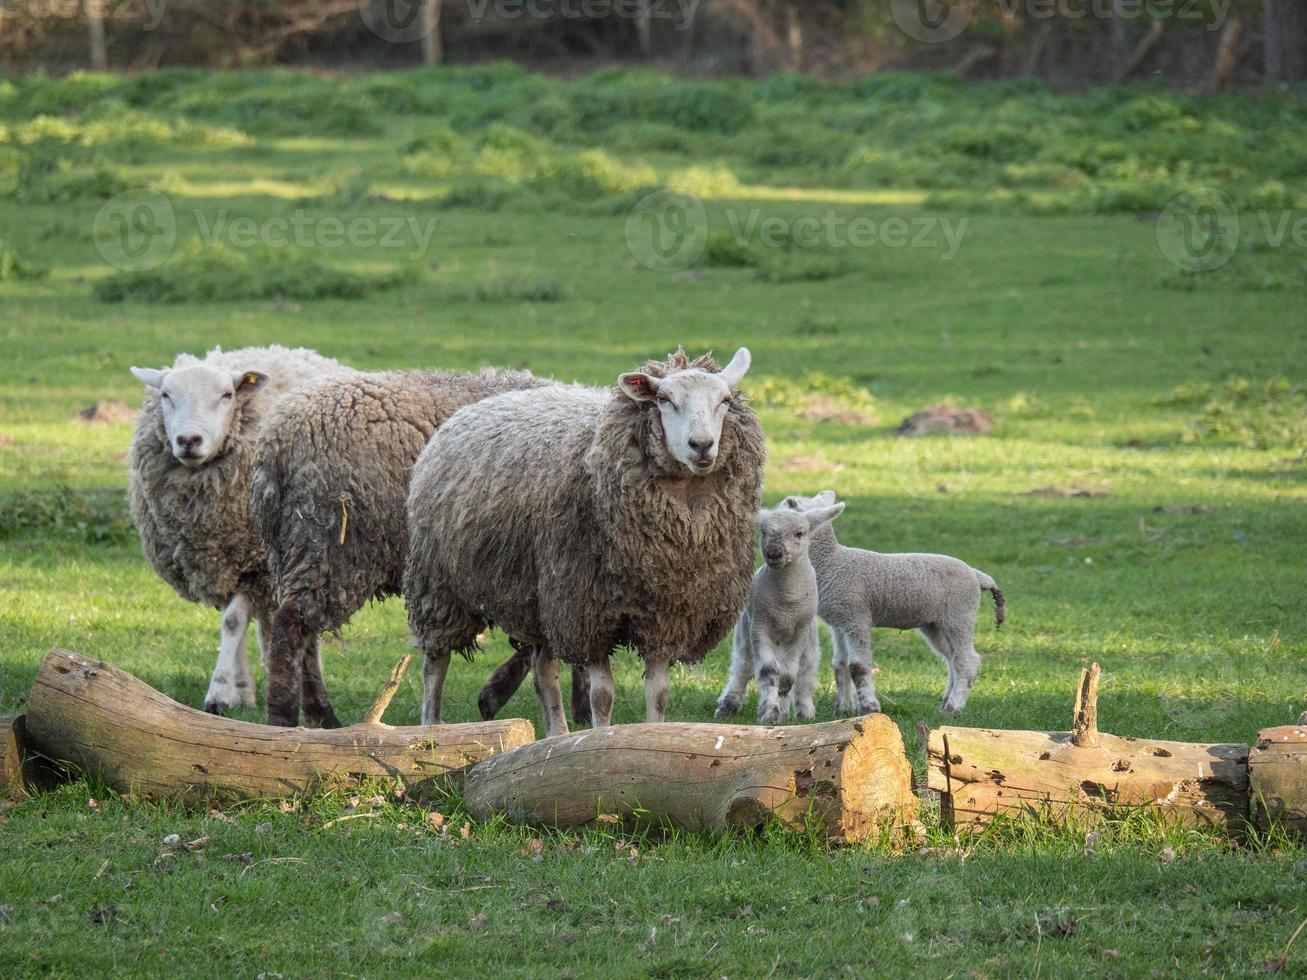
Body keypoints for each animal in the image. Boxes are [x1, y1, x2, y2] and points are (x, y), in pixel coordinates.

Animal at [126, 344, 347, 716]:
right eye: (166, 395)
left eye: (227, 395)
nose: (188, 440)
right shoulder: (222, 562)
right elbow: (234, 623)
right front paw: (237, 690)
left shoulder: (253, 563)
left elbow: (232, 622)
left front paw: (217, 693)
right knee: (264, 618)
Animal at [249, 368, 556, 731]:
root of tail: (274, 445)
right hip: (332, 543)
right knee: (291, 625)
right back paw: (282, 718)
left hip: (297, 549)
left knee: (303, 630)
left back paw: (322, 717)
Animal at [402, 350, 763, 742]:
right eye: (665, 400)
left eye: (724, 401)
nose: (702, 446)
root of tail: (483, 400)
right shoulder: (587, 615)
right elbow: (601, 697)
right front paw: (598, 738)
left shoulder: (664, 617)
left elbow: (659, 693)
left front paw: (652, 733)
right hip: (440, 584)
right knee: (435, 663)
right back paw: (430, 728)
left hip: (541, 599)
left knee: (543, 673)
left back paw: (557, 735)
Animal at [716, 501, 846, 726]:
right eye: (763, 531)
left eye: (800, 533)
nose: (774, 553)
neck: (786, 603)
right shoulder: (760, 628)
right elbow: (769, 672)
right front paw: (769, 714)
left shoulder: (799, 633)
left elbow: (787, 676)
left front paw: (782, 713)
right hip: (745, 630)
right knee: (743, 666)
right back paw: (728, 705)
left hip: (810, 640)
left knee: (805, 671)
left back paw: (803, 710)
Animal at [773, 493, 1009, 716]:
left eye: (785, 508)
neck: (832, 561)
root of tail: (978, 576)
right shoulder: (839, 623)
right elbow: (839, 665)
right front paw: (843, 709)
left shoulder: (856, 617)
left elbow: (857, 666)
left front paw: (869, 707)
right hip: (935, 624)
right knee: (953, 659)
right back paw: (945, 702)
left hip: (960, 614)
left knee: (968, 661)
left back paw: (954, 707)